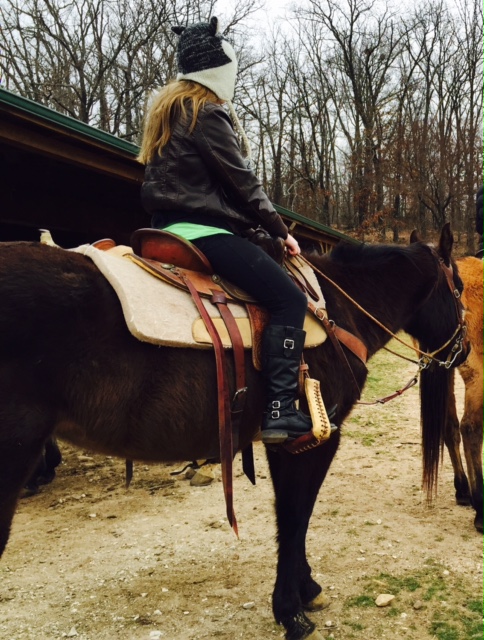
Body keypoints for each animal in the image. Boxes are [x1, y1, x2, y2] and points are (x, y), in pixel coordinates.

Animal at [0, 224, 468, 640]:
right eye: (460, 289)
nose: (463, 351)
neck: (336, 310)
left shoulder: (285, 445)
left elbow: (291, 517)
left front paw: (304, 589)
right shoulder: (318, 439)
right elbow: (296, 516)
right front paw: (290, 610)